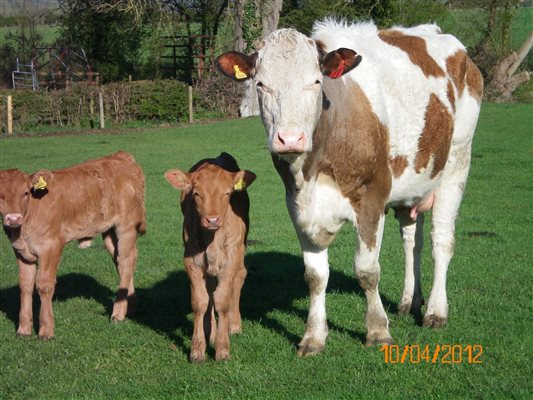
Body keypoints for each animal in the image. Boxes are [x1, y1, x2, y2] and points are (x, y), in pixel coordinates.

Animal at [0, 152, 145, 340]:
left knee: (127, 261)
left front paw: (46, 330)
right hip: (109, 231)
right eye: (0, 195)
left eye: (25, 193)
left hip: (127, 226)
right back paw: (131, 307)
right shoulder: (20, 251)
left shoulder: (51, 246)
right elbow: (25, 286)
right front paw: (23, 329)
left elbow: (44, 285)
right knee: (122, 261)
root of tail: (122, 156)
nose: (13, 218)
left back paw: (118, 314)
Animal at [165, 152, 256, 360]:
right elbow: (201, 301)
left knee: (238, 279)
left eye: (227, 193)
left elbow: (222, 300)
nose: (213, 219)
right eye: (196, 194)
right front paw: (198, 349)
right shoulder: (191, 260)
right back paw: (212, 333)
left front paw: (222, 349)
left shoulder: (231, 257)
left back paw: (234, 325)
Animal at [216, 19, 482, 356]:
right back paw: (410, 301)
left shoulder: (371, 198)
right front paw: (313, 336)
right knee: (412, 241)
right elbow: (315, 276)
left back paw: (436, 311)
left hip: (457, 161)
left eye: (316, 81)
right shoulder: (297, 205)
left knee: (441, 242)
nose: (289, 139)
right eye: (260, 84)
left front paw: (377, 331)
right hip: (412, 180)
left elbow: (367, 271)